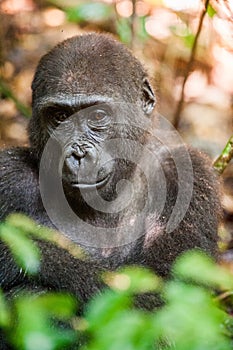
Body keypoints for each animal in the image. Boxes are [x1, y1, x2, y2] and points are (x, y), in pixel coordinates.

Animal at [0, 32, 220, 342]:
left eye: (97, 116)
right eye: (59, 117)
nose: (78, 154)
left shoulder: (191, 178)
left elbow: (171, 308)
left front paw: (7, 254)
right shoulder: (8, 175)